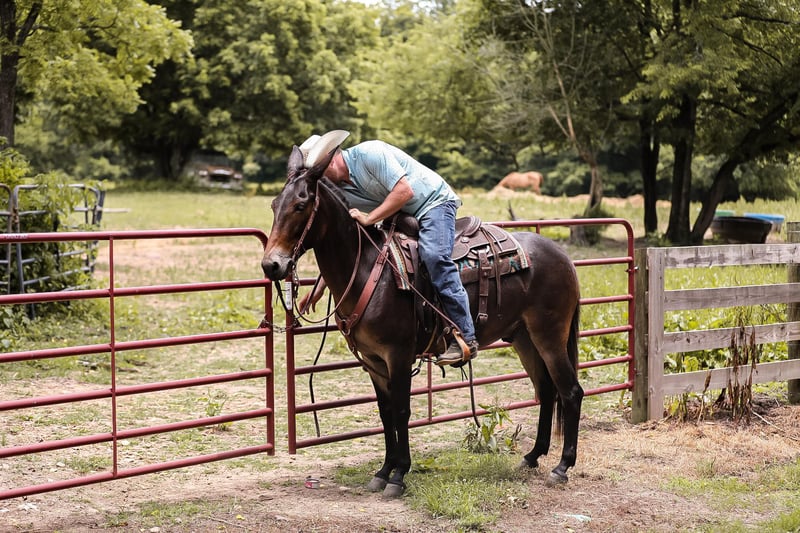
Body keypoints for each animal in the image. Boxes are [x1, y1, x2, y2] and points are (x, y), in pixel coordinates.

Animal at [261, 147, 583, 498]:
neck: (368, 269)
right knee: (547, 390)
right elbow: (386, 413)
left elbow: (402, 411)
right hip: (525, 339)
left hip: (550, 335)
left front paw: (399, 474)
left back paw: (562, 466)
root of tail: (561, 254)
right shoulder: (373, 361)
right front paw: (383, 471)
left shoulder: (398, 355)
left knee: (570, 391)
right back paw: (533, 456)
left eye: (301, 205)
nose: (271, 265)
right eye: (274, 205)